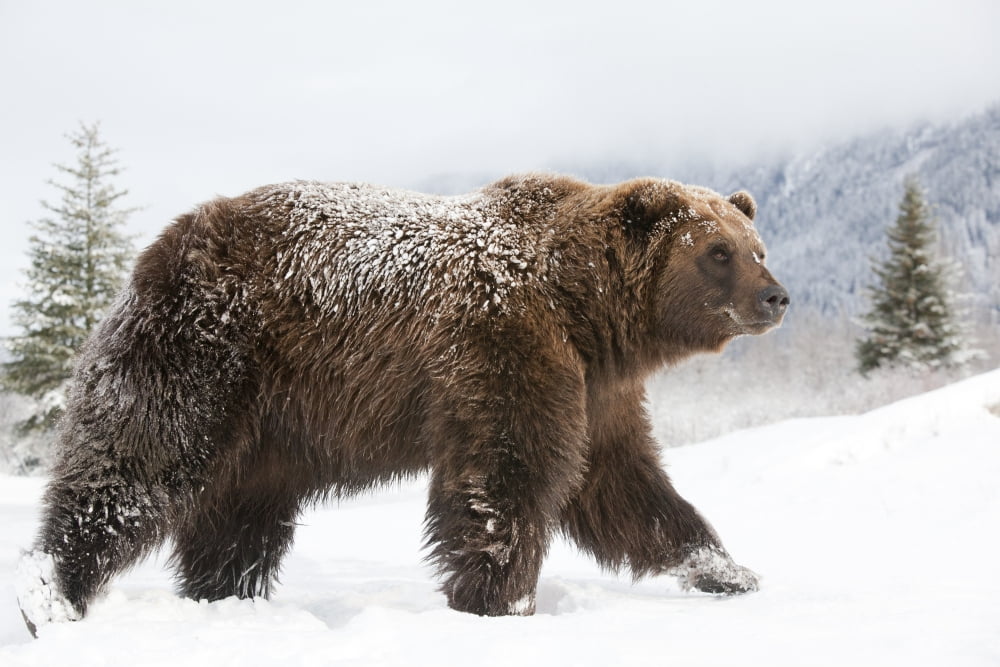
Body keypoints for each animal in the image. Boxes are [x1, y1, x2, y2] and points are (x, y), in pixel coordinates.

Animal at [15, 173, 788, 636]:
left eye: (755, 245)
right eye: (717, 252)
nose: (776, 296)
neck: (586, 311)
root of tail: (157, 249)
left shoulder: (597, 391)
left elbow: (624, 486)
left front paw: (726, 569)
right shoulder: (501, 343)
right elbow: (503, 479)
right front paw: (499, 600)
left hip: (268, 427)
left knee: (239, 520)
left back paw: (225, 595)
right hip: (207, 352)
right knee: (136, 461)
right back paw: (50, 590)